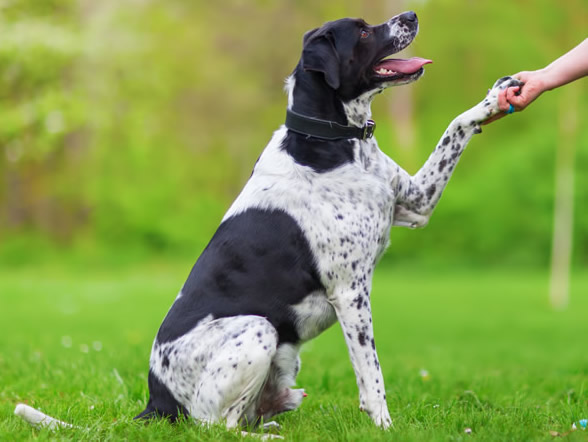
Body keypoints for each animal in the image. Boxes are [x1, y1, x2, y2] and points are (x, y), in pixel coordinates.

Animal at [12, 8, 520, 434]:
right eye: (360, 30)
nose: (411, 14)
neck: (332, 141)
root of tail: (156, 401)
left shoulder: (416, 203)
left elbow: (455, 126)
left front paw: (497, 98)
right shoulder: (350, 292)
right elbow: (371, 375)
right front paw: (385, 427)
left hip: (282, 358)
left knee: (244, 415)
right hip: (258, 330)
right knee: (216, 426)